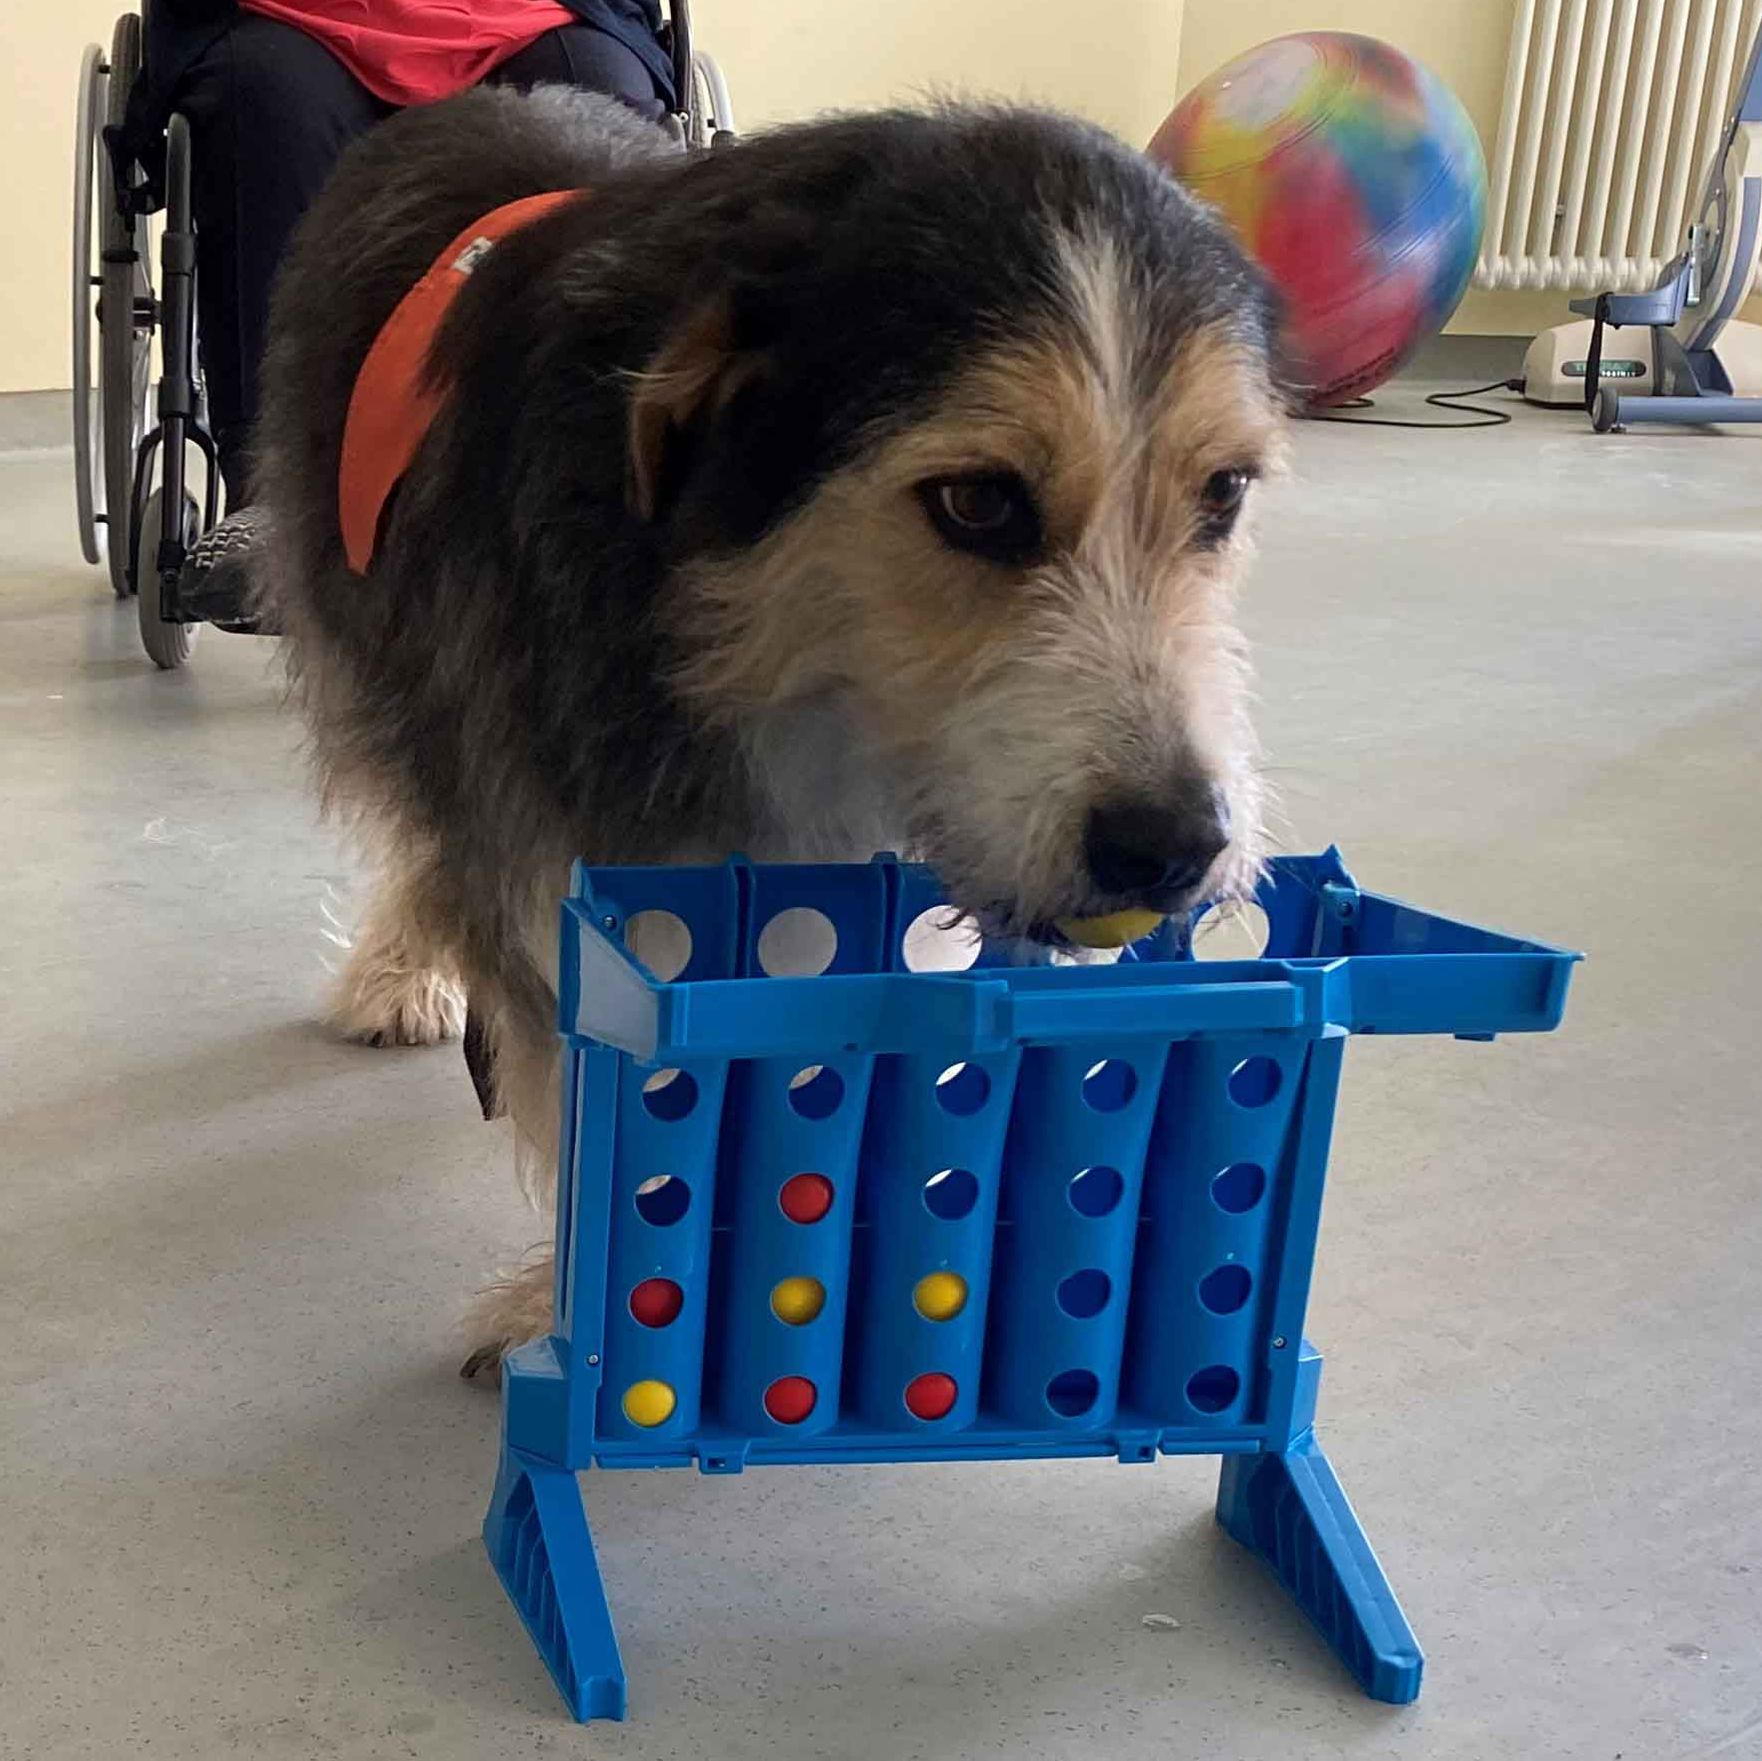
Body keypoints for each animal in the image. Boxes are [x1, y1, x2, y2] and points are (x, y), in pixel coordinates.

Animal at [251, 89, 1282, 1367]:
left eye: (1223, 493)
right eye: (976, 500)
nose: (1174, 847)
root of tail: (476, 93)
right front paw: (578, 1318)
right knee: (419, 820)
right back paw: (402, 969)